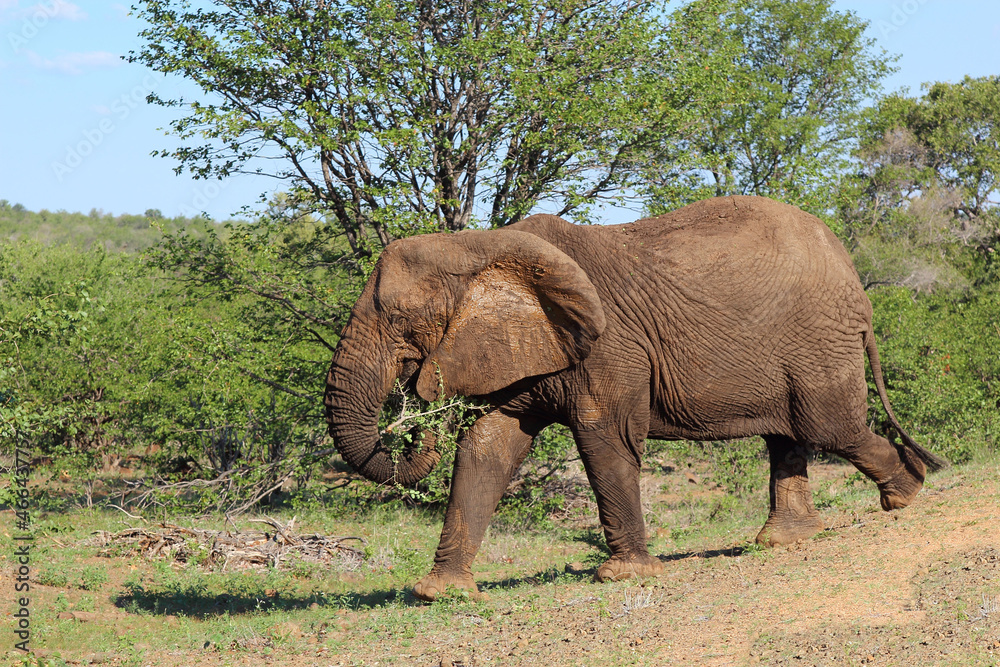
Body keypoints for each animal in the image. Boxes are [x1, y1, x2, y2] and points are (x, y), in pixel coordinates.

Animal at [322, 196, 944, 604]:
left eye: (400, 319)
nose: (411, 406)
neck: (478, 243)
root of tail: (854, 278)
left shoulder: (608, 345)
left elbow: (605, 438)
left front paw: (625, 578)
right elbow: (487, 447)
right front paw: (441, 594)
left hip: (817, 342)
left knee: (829, 428)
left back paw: (908, 494)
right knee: (788, 436)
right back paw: (786, 541)